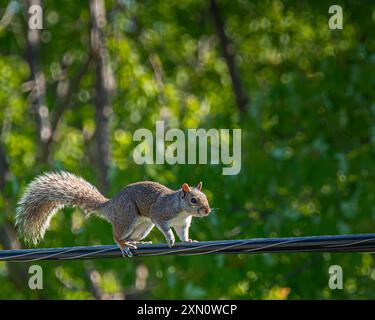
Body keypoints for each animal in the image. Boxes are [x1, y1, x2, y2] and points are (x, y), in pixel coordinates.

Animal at [15, 171, 212, 256]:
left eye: (206, 197)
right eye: (193, 200)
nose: (208, 210)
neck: (181, 211)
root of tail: (110, 205)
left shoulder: (183, 223)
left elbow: (183, 233)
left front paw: (188, 241)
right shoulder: (159, 213)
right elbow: (166, 228)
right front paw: (170, 239)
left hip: (142, 227)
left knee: (131, 236)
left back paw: (134, 242)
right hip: (128, 216)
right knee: (117, 236)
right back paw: (123, 245)